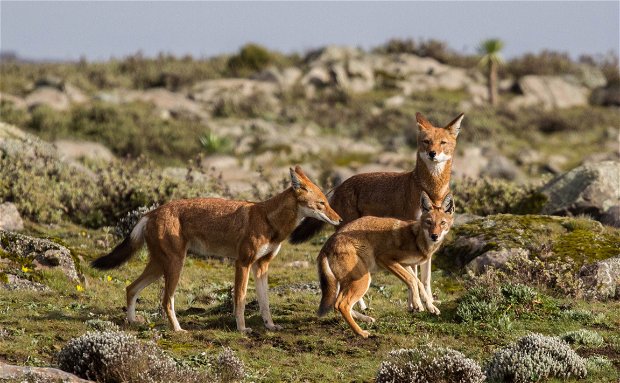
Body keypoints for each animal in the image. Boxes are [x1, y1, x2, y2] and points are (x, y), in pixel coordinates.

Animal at [93, 167, 340, 332]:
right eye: (321, 204)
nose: (339, 219)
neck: (269, 220)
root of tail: (151, 212)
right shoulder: (243, 263)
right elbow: (240, 299)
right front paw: (241, 329)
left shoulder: (261, 267)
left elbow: (265, 303)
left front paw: (270, 326)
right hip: (174, 266)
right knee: (165, 301)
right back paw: (178, 330)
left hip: (158, 267)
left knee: (130, 288)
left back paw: (133, 322)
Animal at [318, 194, 452, 338]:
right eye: (429, 222)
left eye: (442, 223)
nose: (434, 236)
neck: (416, 238)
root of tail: (327, 244)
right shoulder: (386, 259)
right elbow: (412, 280)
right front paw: (417, 304)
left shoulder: (405, 264)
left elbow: (418, 282)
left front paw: (430, 307)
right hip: (363, 280)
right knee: (342, 305)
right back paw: (361, 332)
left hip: (347, 283)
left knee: (336, 304)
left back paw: (366, 319)